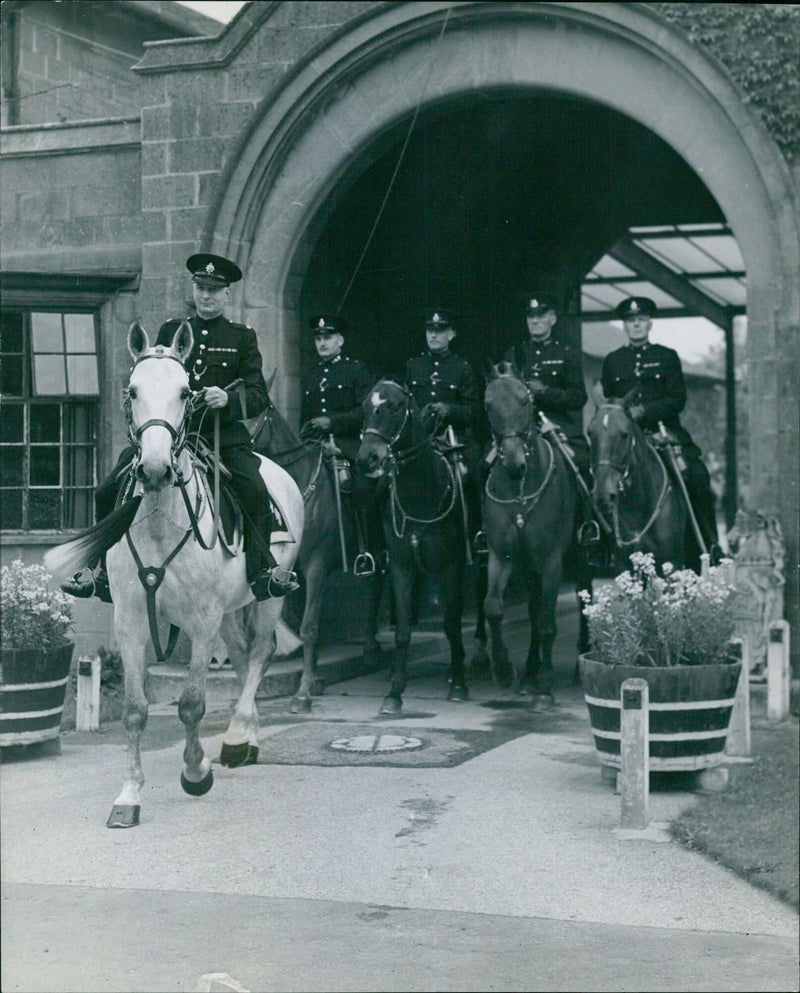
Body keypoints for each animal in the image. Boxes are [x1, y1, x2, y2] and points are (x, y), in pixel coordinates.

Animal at [45, 322, 304, 824]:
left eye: (186, 392)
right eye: (132, 391)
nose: (154, 468)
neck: (161, 521)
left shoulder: (202, 621)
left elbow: (190, 704)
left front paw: (195, 773)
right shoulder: (130, 620)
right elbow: (134, 709)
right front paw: (129, 795)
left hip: (269, 594)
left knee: (260, 653)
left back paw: (241, 734)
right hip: (228, 609)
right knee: (240, 655)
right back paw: (238, 738)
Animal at [358, 376, 468, 708]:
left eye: (394, 406)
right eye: (364, 406)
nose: (367, 458)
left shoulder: (452, 566)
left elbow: (452, 625)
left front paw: (459, 684)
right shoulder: (401, 567)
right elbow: (403, 631)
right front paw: (394, 692)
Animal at [482, 364, 576, 704]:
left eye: (525, 400)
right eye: (488, 405)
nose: (513, 464)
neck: (520, 492)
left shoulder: (552, 563)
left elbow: (547, 623)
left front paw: (545, 686)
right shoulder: (501, 556)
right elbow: (493, 608)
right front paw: (504, 669)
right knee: (533, 613)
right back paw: (527, 674)